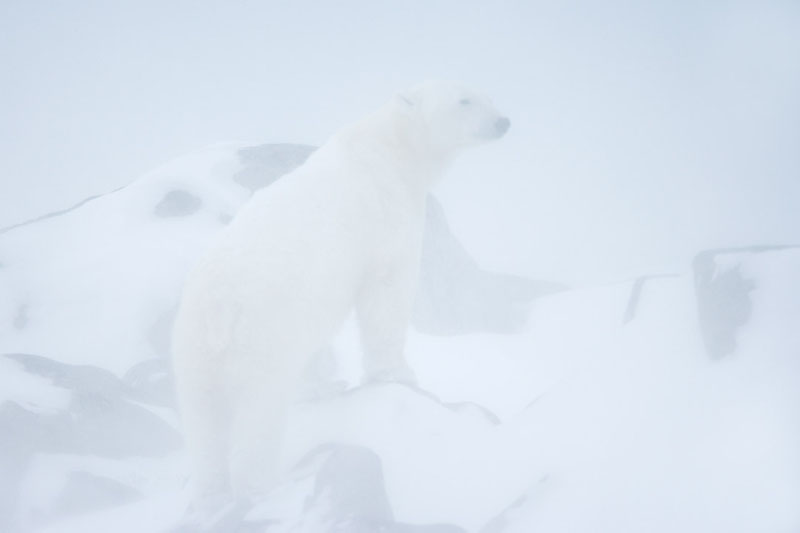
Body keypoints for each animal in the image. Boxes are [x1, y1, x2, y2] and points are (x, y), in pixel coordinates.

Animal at [172, 80, 510, 508]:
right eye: (464, 100)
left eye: (488, 96)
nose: (502, 122)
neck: (390, 150)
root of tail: (218, 309)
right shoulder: (386, 217)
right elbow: (387, 295)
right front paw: (399, 372)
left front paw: (328, 383)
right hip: (262, 338)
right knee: (258, 413)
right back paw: (260, 484)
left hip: (194, 356)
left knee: (204, 422)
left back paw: (208, 487)